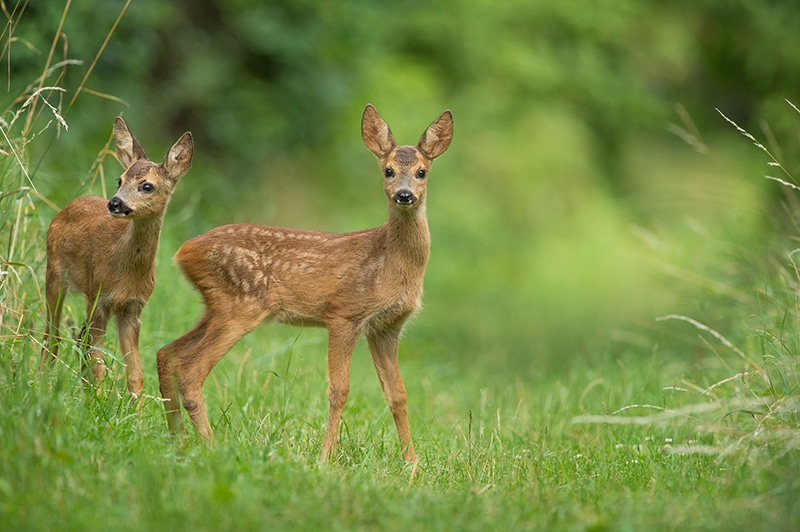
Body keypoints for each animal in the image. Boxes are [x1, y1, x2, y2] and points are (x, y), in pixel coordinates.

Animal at [42, 117, 193, 398]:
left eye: (147, 186)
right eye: (119, 180)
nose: (114, 203)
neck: (125, 271)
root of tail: (67, 207)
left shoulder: (133, 308)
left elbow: (135, 374)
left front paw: (131, 408)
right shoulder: (99, 298)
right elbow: (98, 364)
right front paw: (97, 404)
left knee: (78, 338)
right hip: (55, 274)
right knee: (53, 335)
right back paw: (43, 382)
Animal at [157, 104, 453, 467]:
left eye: (422, 172)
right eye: (388, 171)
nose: (404, 195)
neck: (389, 261)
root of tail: (183, 252)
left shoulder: (386, 327)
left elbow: (398, 394)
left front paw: (412, 464)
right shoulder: (344, 314)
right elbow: (339, 390)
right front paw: (326, 458)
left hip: (214, 306)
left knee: (167, 353)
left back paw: (179, 442)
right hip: (240, 305)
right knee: (190, 369)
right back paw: (209, 446)